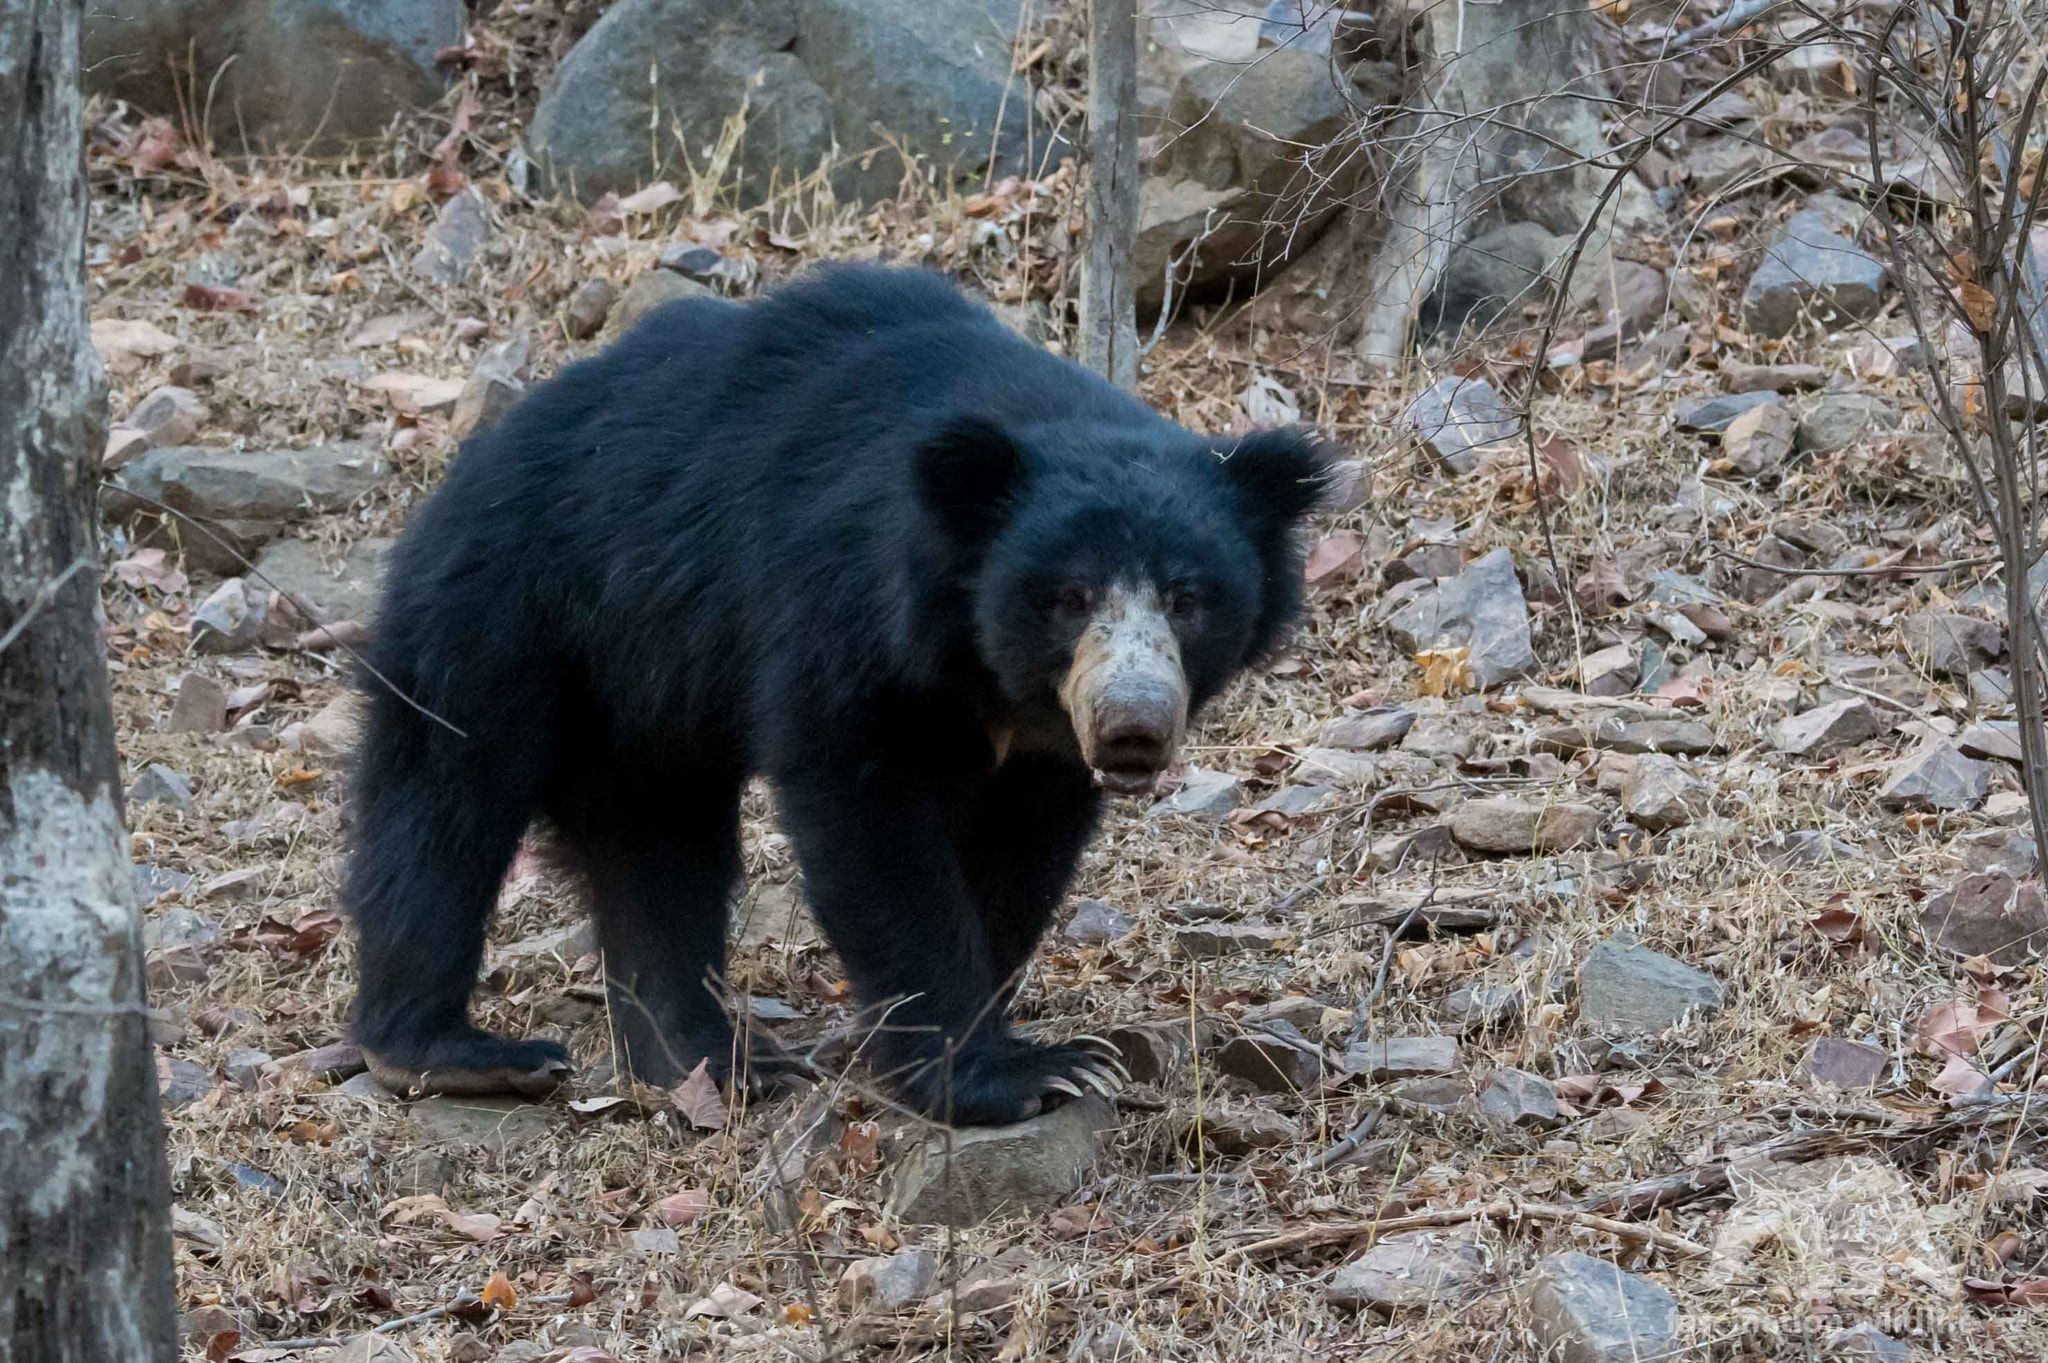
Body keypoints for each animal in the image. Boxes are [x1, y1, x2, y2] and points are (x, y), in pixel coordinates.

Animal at [343, 263, 1332, 1125]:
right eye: (1070, 597)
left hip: (638, 695)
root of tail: (466, 464)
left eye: (1188, 597)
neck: (978, 666)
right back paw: (451, 1051)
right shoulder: (842, 610)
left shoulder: (1042, 750)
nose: (1131, 725)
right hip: (507, 611)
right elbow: (869, 820)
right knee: (444, 807)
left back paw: (711, 1060)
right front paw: (1018, 1075)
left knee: (655, 846)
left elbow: (1017, 857)